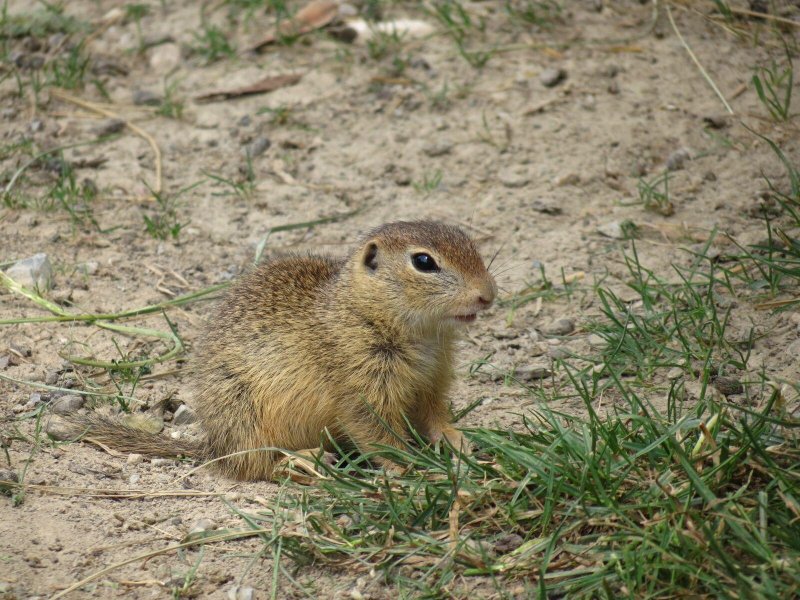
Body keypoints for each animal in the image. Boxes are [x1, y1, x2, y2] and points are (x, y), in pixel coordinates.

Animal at [67, 223, 494, 480]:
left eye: (469, 242)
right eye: (424, 262)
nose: (487, 295)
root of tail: (213, 446)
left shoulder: (432, 381)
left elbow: (435, 415)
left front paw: (457, 441)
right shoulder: (360, 386)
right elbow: (376, 433)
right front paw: (410, 467)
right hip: (245, 415)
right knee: (255, 465)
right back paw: (303, 461)